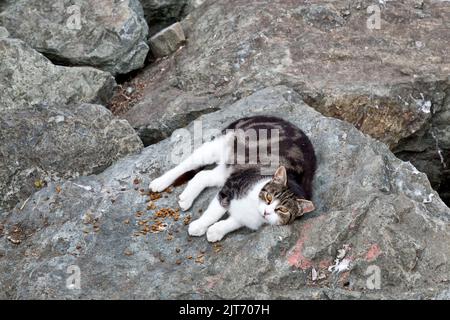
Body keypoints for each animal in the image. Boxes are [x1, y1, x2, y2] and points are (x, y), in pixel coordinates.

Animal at [149, 115, 316, 242]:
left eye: (282, 210)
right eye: (269, 197)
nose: (267, 212)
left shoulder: (250, 216)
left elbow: (235, 222)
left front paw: (215, 231)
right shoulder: (230, 188)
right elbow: (213, 213)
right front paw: (199, 226)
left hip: (228, 169)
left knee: (202, 176)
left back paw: (186, 198)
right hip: (216, 147)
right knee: (186, 164)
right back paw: (159, 183)